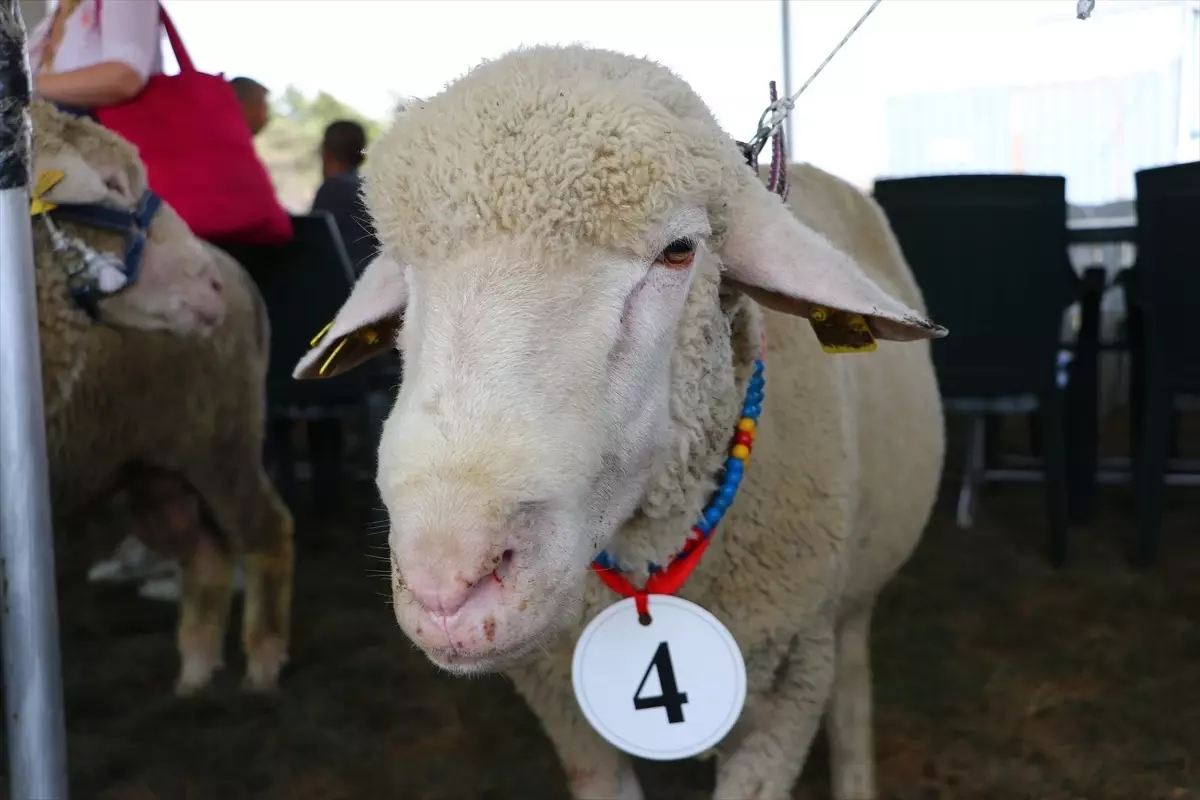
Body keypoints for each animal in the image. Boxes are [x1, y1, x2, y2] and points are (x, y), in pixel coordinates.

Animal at [295, 45, 940, 800]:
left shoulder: (791, 682)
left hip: (851, 602)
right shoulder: (564, 703)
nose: (447, 585)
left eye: (680, 250)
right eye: (401, 267)